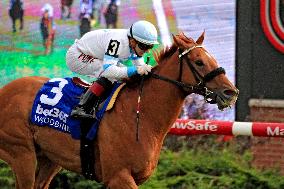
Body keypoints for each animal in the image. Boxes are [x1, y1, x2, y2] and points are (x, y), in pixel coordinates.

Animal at [0, 31, 237, 188]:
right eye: (199, 62)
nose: (231, 92)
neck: (141, 115)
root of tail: (5, 90)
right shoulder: (118, 176)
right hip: (21, 154)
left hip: (50, 158)